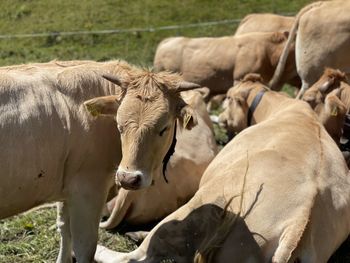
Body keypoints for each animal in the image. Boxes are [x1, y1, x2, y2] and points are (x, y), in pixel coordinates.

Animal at [0, 60, 201, 263]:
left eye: (164, 128)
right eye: (119, 126)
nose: (128, 178)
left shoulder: (67, 190)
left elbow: (64, 230)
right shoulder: (88, 189)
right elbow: (85, 247)